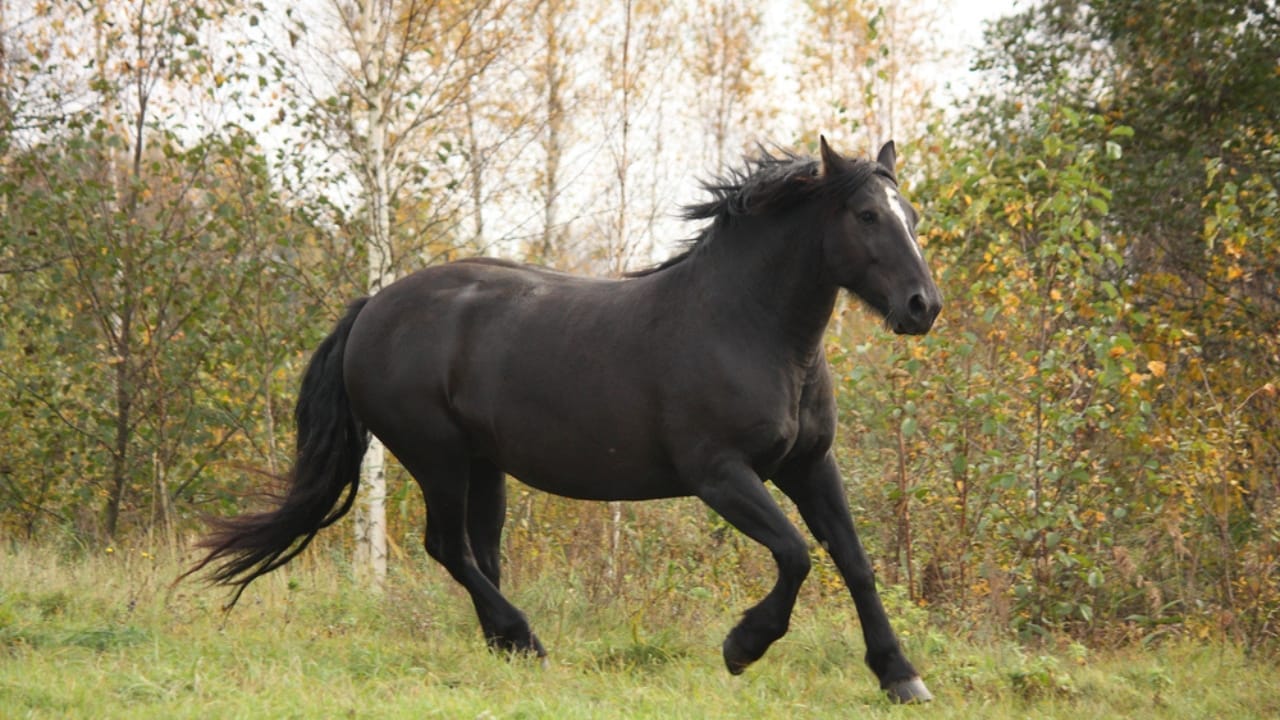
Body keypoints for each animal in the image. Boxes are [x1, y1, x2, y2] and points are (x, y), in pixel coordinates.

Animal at [187, 137, 942, 703]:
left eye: (908, 213)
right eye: (867, 216)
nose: (922, 305)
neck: (748, 327)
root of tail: (372, 306)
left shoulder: (809, 466)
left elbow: (854, 561)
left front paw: (899, 677)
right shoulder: (721, 474)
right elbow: (796, 554)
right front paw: (741, 647)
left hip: (484, 465)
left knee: (479, 553)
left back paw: (506, 644)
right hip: (437, 457)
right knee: (449, 548)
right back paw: (524, 639)